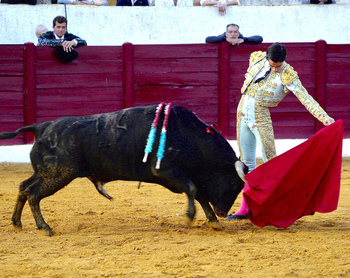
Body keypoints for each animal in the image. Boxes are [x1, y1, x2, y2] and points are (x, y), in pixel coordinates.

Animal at [0, 103, 247, 235]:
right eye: (234, 183)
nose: (223, 212)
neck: (188, 135)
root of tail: (42, 127)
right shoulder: (167, 171)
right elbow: (194, 190)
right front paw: (190, 217)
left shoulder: (181, 176)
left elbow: (198, 193)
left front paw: (213, 222)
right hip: (59, 175)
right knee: (33, 194)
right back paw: (44, 227)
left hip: (45, 173)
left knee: (24, 187)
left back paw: (17, 223)